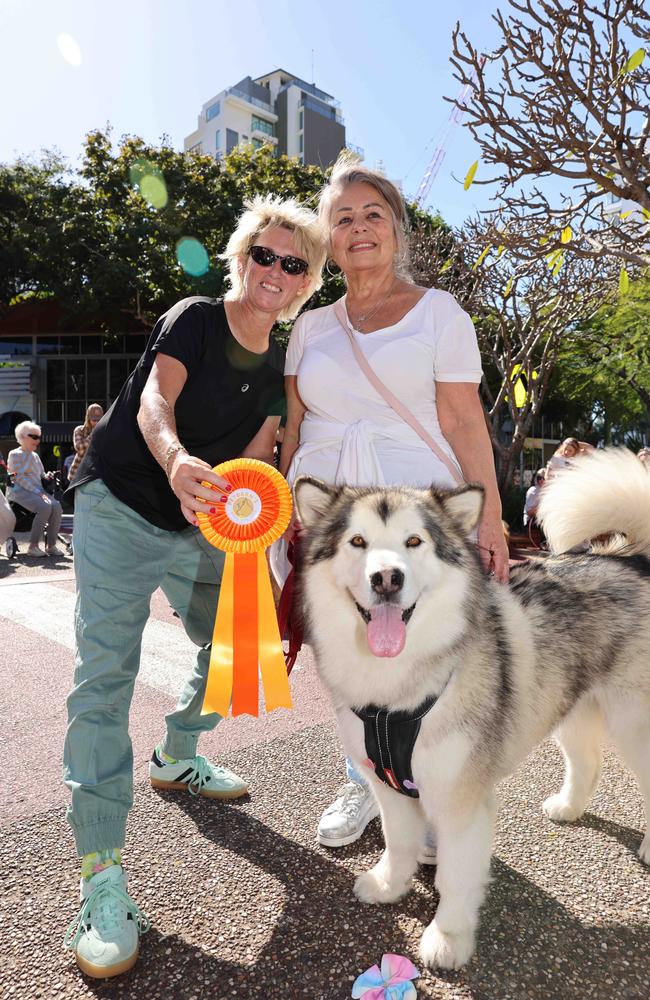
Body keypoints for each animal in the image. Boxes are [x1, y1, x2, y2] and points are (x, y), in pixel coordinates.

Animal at [292, 452, 648, 968]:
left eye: (413, 541)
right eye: (357, 542)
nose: (386, 578)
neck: (396, 695)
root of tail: (633, 558)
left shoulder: (460, 799)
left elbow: (455, 877)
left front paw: (449, 937)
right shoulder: (389, 786)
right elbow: (398, 842)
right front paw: (388, 885)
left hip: (633, 722)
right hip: (570, 705)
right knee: (588, 761)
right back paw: (567, 807)